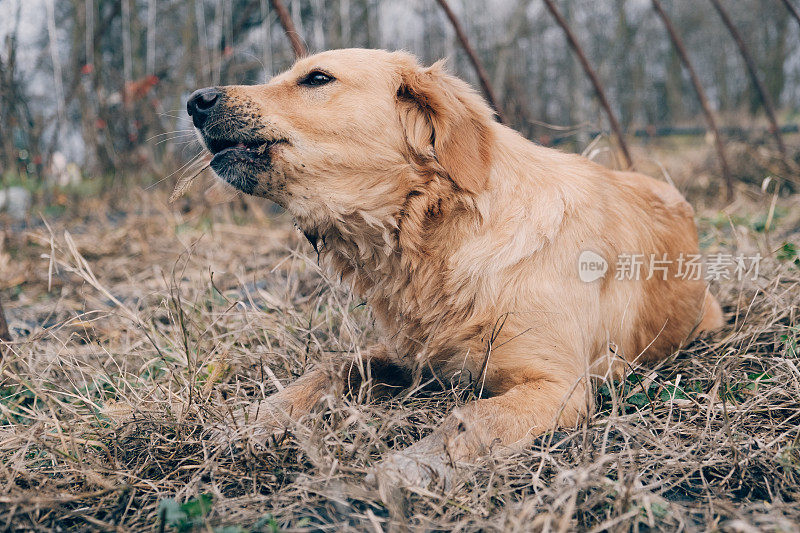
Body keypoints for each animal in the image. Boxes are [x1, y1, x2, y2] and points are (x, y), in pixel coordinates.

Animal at [188, 48, 724, 486]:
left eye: (317, 78)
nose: (195, 100)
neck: (437, 235)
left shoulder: (560, 386)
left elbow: (469, 420)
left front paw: (407, 469)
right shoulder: (408, 355)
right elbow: (330, 368)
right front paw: (260, 419)